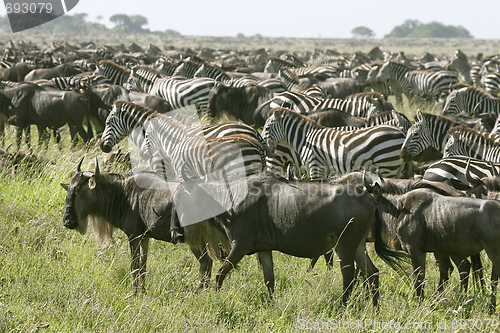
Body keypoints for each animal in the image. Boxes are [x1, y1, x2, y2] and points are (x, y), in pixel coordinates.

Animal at [260, 107, 408, 179]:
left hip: (386, 165)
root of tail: (400, 133)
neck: (305, 138)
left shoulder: (315, 166)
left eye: (266, 128)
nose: (264, 147)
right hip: (395, 168)